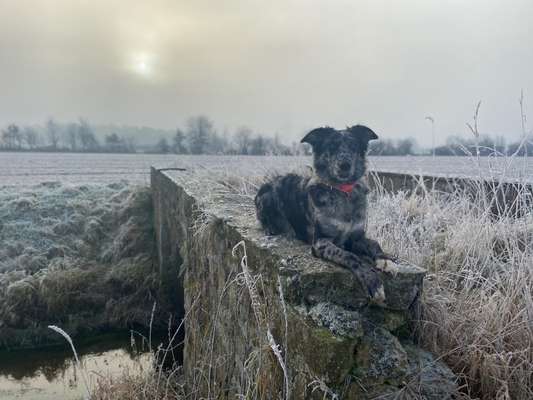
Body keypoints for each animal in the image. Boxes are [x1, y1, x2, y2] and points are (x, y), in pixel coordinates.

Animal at [255, 125, 384, 300]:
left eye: (353, 146)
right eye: (331, 146)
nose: (344, 164)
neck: (342, 191)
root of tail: (268, 183)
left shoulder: (356, 237)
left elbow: (374, 244)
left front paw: (386, 260)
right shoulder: (320, 242)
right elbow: (349, 255)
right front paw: (372, 281)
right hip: (267, 198)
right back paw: (272, 229)